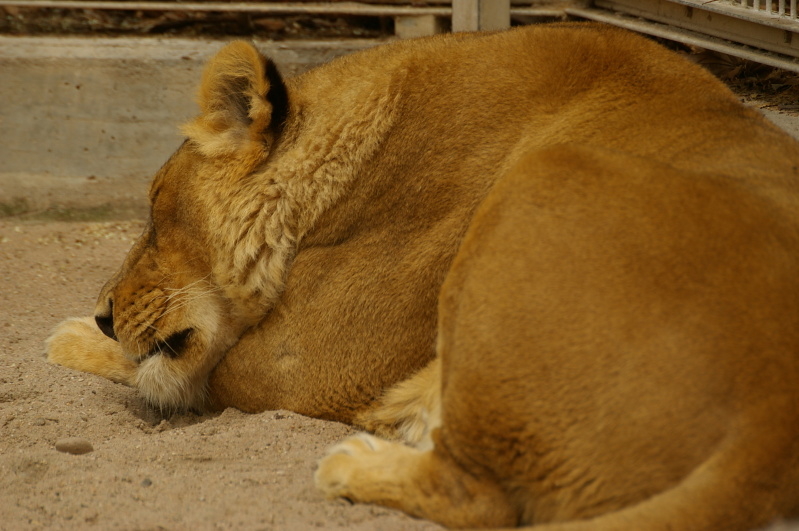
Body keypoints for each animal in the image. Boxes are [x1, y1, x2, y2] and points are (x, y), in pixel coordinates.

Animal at [45, 21, 799, 531]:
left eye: (154, 212)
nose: (106, 313)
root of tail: (772, 405)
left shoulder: (314, 360)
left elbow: (187, 372)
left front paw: (74, 334)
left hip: (540, 178)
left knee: (486, 501)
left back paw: (352, 462)